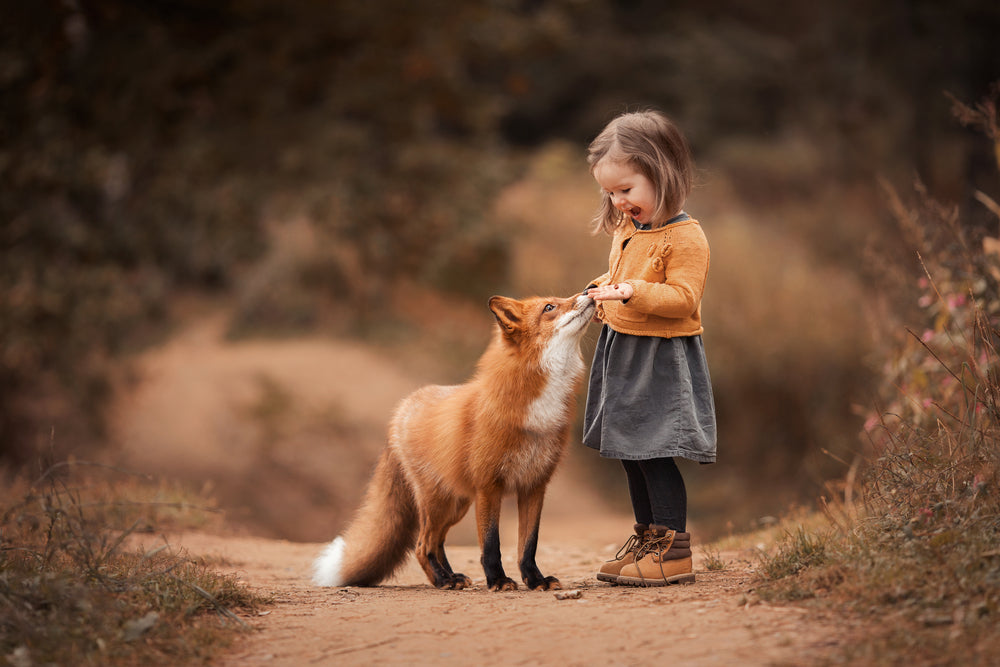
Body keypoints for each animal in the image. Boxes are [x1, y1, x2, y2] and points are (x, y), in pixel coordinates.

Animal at [312, 294, 592, 592]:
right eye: (549, 308)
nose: (589, 290)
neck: (535, 414)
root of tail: (402, 409)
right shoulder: (488, 486)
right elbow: (491, 545)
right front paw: (498, 580)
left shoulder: (534, 486)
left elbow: (528, 545)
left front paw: (535, 579)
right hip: (438, 503)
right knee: (422, 545)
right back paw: (442, 580)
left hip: (455, 505)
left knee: (436, 542)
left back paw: (451, 576)